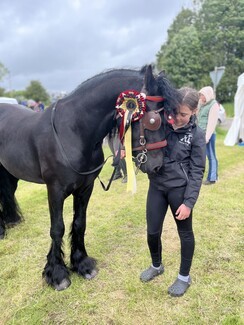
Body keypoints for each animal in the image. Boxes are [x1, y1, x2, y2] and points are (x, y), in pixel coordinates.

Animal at [0, 64, 179, 290]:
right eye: (153, 120)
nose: (157, 165)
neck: (73, 131)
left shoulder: (85, 188)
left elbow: (79, 223)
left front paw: (82, 264)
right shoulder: (55, 190)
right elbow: (57, 228)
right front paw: (57, 273)